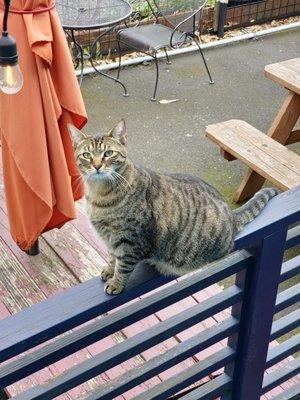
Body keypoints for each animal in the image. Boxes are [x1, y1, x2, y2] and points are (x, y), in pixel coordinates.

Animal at [68, 120, 278, 296]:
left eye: (108, 153)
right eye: (87, 155)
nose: (97, 166)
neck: (99, 195)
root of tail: (232, 215)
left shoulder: (131, 242)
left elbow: (123, 266)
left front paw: (116, 283)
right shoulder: (112, 239)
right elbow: (112, 257)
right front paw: (108, 270)